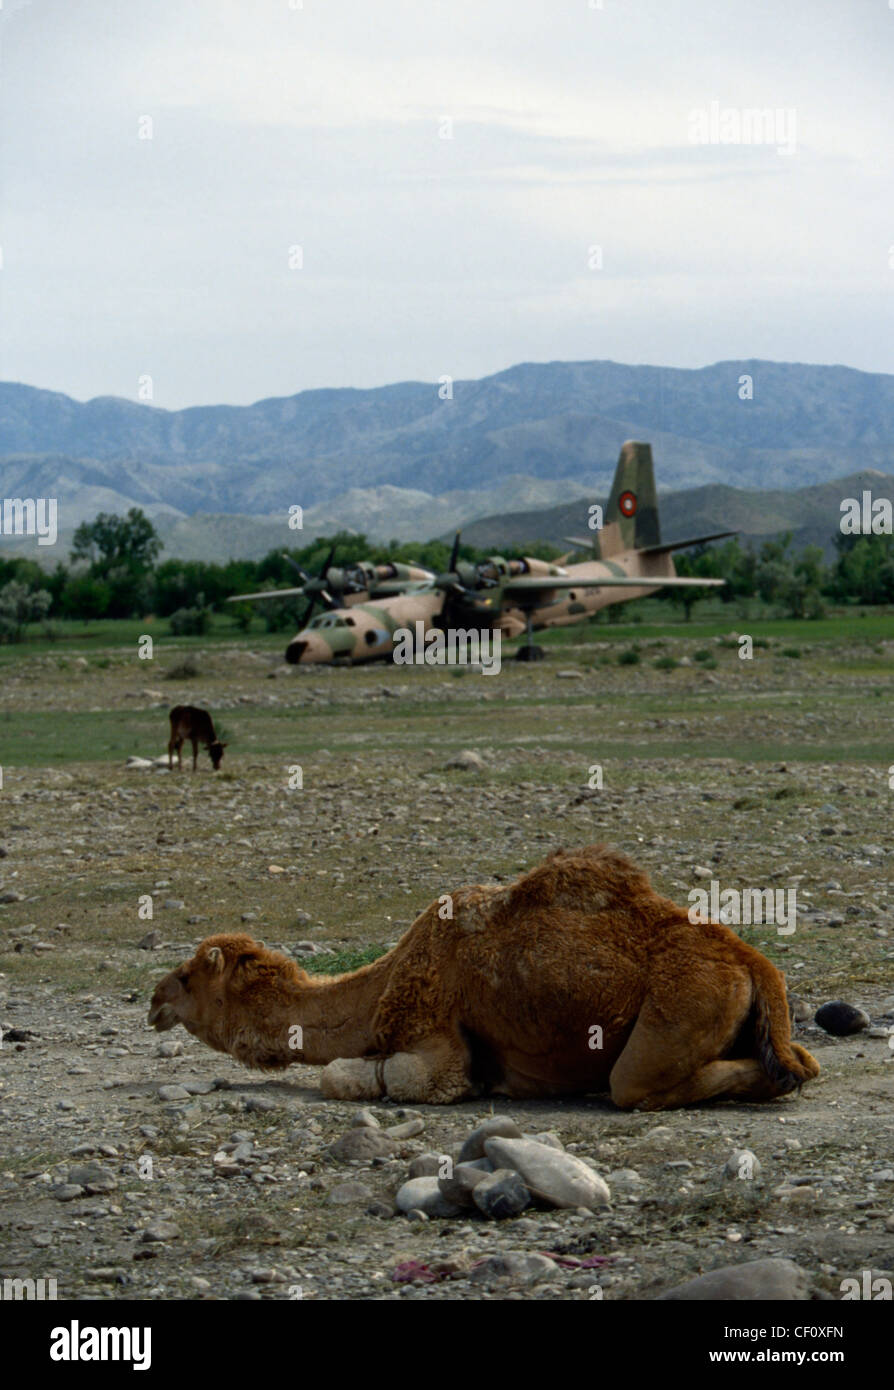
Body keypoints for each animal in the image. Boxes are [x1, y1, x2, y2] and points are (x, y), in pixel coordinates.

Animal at [147, 844, 819, 1109]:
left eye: (187, 975)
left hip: (685, 1000)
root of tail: (752, 963)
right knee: (803, 1058)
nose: (152, 999)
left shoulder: (435, 1035)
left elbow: (361, 1076)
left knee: (634, 1083)